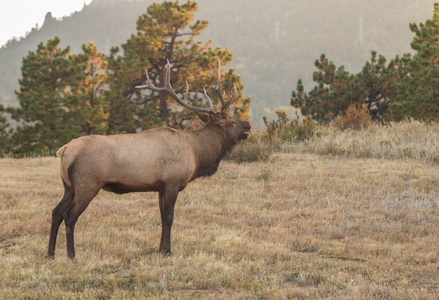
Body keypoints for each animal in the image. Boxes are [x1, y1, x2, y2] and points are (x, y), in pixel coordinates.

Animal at [46, 59, 251, 258]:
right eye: (232, 122)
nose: (248, 124)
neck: (196, 154)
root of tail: (64, 151)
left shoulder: (160, 187)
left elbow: (161, 217)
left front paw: (160, 249)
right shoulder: (172, 182)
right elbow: (169, 217)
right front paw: (168, 251)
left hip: (69, 187)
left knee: (56, 212)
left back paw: (50, 253)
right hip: (87, 184)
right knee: (70, 216)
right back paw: (71, 254)